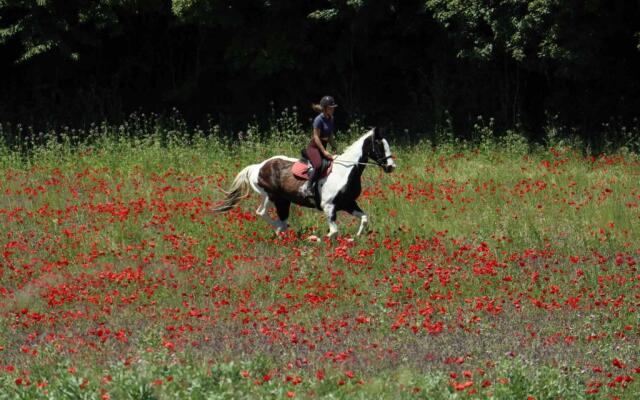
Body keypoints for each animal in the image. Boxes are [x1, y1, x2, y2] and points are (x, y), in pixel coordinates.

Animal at [215, 127, 396, 238]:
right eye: (379, 145)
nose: (391, 166)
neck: (345, 171)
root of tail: (258, 166)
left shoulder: (348, 203)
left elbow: (364, 218)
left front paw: (355, 239)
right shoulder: (329, 207)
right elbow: (333, 232)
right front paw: (315, 239)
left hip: (283, 201)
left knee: (279, 218)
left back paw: (282, 231)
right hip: (271, 196)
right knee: (261, 213)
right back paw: (282, 229)